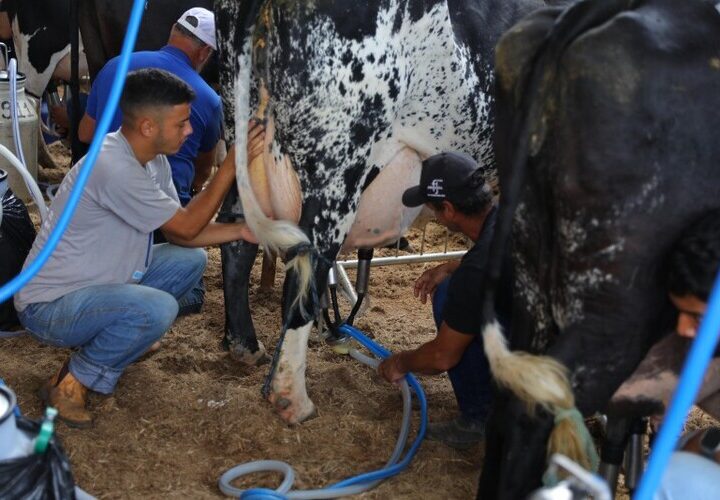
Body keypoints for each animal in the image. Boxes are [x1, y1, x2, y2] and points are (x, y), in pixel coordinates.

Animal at [217, 0, 544, 426]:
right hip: (338, 166)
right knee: (304, 270)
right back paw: (292, 397)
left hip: (241, 140)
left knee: (237, 242)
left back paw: (243, 345)